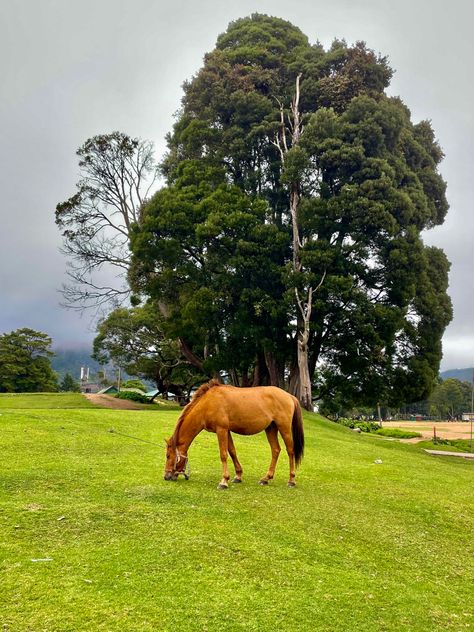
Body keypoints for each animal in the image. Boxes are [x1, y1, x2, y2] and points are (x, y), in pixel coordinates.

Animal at [164, 380, 304, 488]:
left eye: (168, 455)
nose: (166, 476)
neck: (208, 403)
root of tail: (289, 396)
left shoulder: (221, 430)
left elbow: (223, 454)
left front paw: (223, 481)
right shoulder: (227, 431)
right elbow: (232, 452)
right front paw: (238, 476)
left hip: (284, 427)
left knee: (290, 450)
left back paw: (291, 480)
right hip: (271, 428)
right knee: (275, 450)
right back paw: (266, 478)